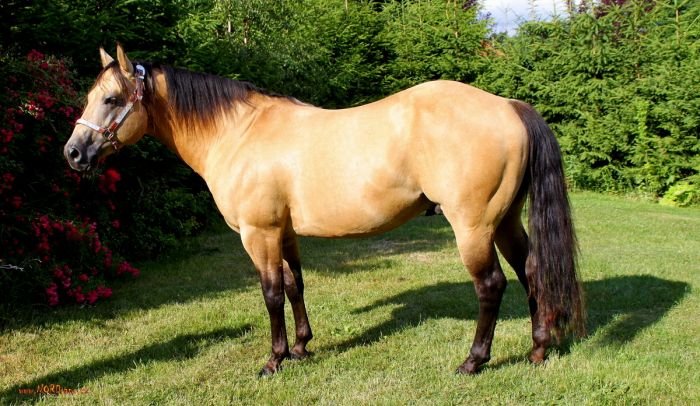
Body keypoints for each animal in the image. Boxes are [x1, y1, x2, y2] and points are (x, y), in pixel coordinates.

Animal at [64, 44, 585, 376]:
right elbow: (295, 285)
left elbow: (271, 293)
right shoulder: (285, 232)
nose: (73, 153)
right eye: (90, 97)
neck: (239, 133)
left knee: (491, 285)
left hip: (473, 226)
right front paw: (301, 347)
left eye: (111, 99)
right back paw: (538, 349)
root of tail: (509, 106)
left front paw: (274, 359)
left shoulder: (258, 233)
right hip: (506, 220)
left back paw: (474, 361)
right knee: (532, 271)